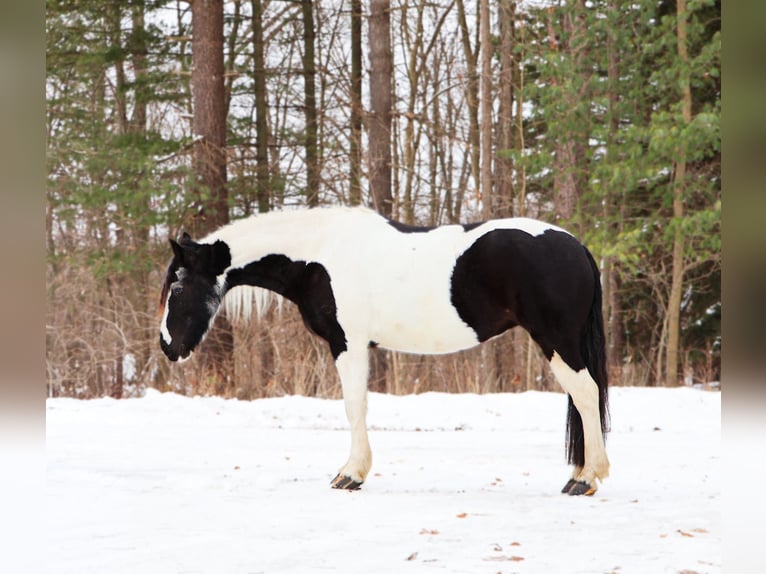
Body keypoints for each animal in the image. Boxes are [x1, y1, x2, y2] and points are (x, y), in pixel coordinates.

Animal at [158, 206, 610, 495]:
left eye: (177, 288)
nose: (168, 347)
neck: (317, 254)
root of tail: (577, 247)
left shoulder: (348, 343)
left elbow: (353, 405)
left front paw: (350, 474)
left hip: (557, 341)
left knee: (586, 394)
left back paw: (586, 478)